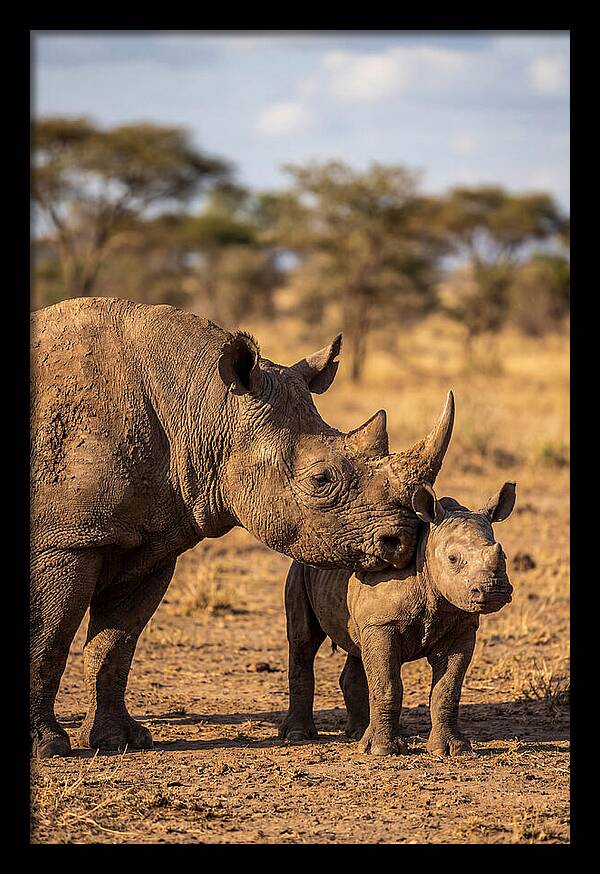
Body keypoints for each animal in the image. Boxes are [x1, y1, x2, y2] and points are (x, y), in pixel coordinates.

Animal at [30, 297, 454, 758]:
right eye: (320, 479)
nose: (403, 541)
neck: (205, 406)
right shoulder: (67, 541)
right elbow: (48, 637)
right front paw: (48, 747)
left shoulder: (151, 542)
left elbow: (115, 644)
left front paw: (118, 741)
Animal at [279, 480, 516, 756]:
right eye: (453, 559)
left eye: (504, 556)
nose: (494, 590)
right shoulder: (383, 624)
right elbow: (388, 684)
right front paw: (383, 750)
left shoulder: (461, 627)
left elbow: (448, 689)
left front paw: (453, 749)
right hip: (300, 568)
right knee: (303, 641)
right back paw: (298, 735)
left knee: (357, 647)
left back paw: (358, 733)